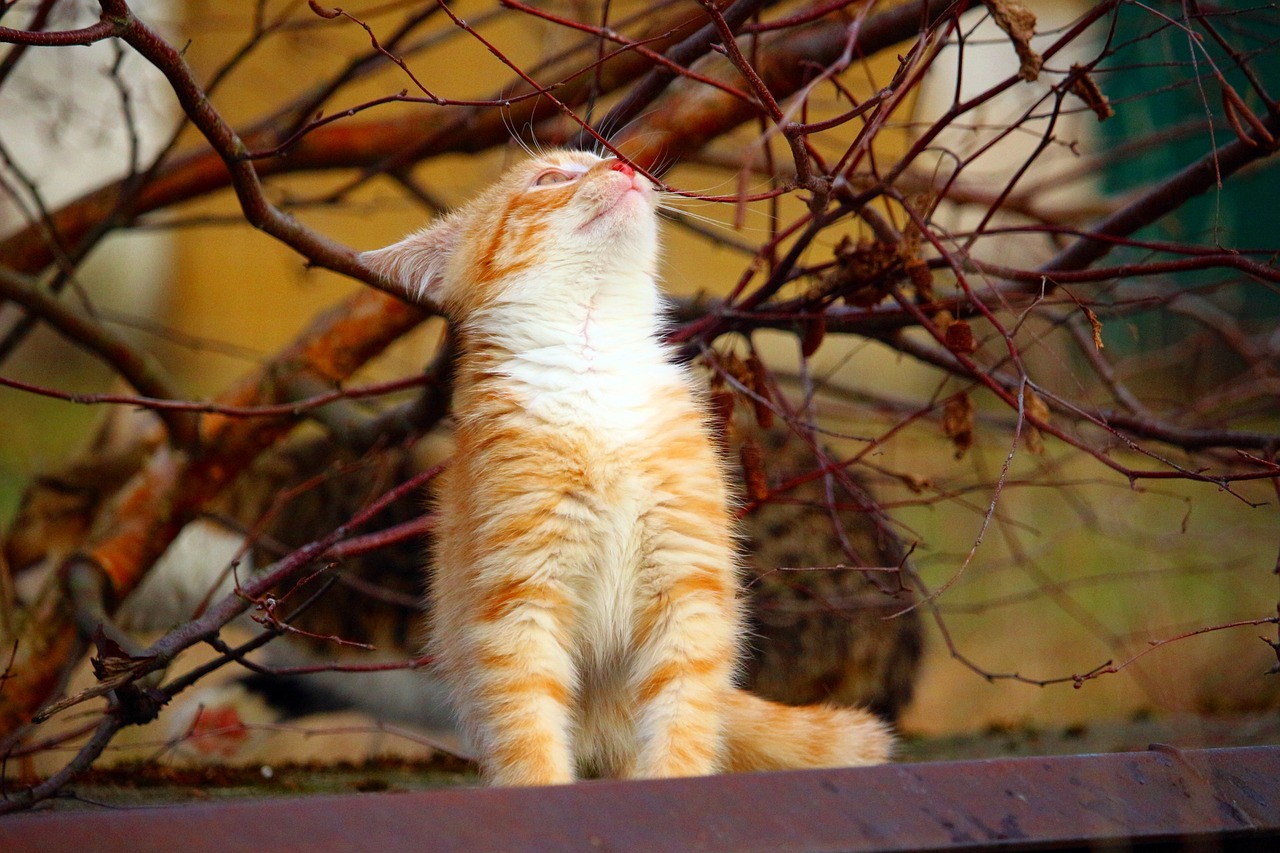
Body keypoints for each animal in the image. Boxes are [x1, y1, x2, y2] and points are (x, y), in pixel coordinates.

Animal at [360, 151, 890, 783]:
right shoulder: (520, 600)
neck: (595, 368)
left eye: (596, 158)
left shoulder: (689, 587)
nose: (622, 164)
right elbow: (528, 731)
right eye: (550, 179)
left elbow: (683, 721)